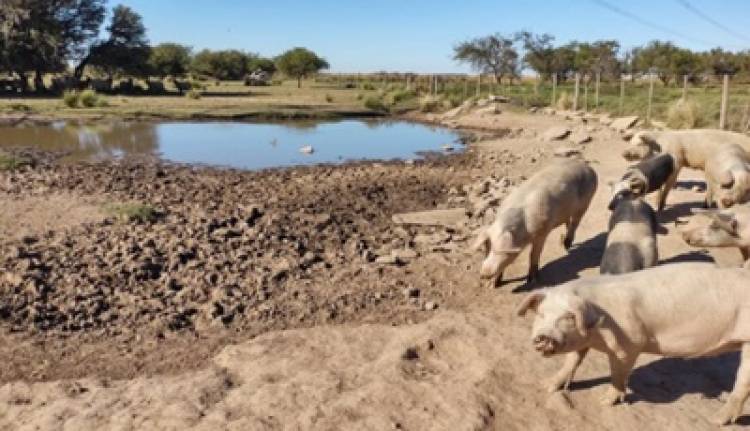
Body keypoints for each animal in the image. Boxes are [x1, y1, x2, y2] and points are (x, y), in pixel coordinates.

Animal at [520, 264, 750, 426]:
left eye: (568, 317)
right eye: (541, 314)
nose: (543, 336)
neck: (596, 329)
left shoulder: (630, 343)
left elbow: (618, 374)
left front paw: (603, 402)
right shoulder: (583, 342)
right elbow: (572, 361)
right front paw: (545, 385)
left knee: (742, 383)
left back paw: (716, 420)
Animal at [620, 130, 750, 213]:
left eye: (639, 144)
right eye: (630, 143)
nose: (623, 153)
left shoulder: (677, 162)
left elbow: (668, 185)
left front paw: (660, 207)